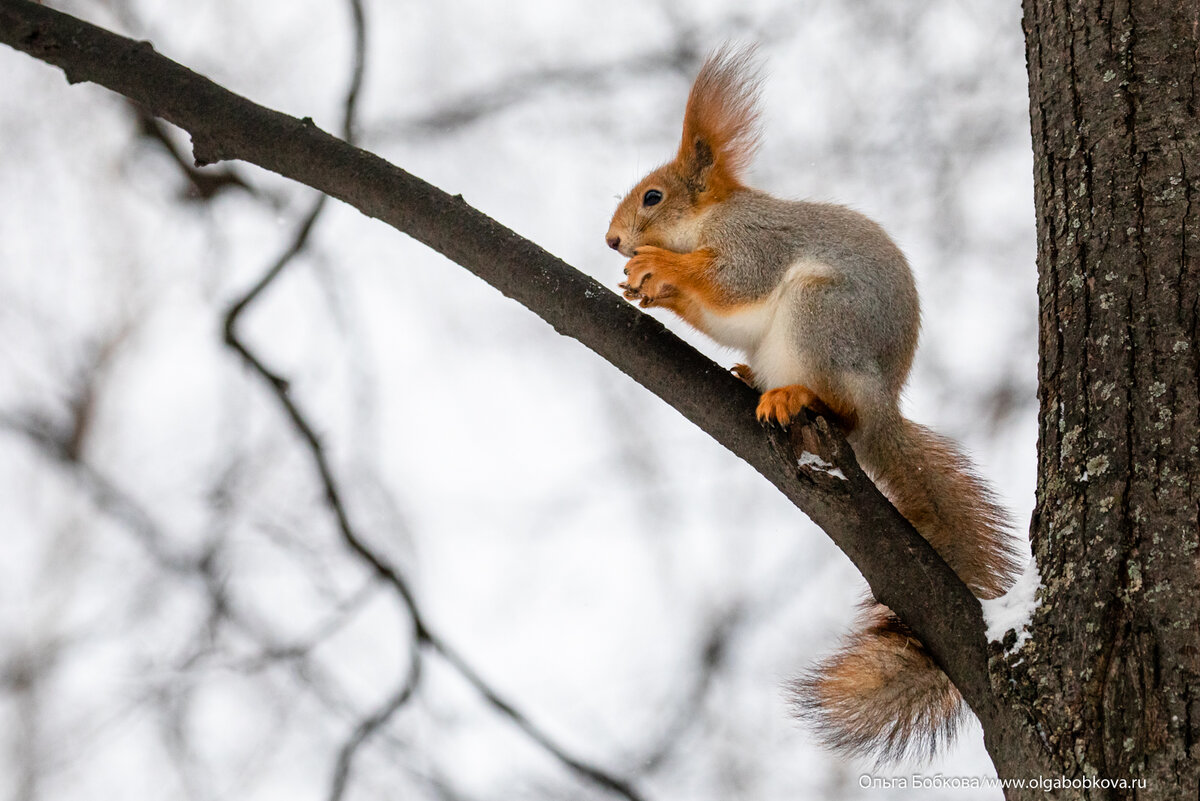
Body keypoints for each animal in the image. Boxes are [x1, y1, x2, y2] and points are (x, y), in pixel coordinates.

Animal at [604, 45, 1017, 762]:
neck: (709, 218)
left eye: (653, 196)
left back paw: (795, 394)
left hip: (820, 317)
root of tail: (884, 410)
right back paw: (751, 376)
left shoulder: (755, 243)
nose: (611, 241)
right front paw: (651, 289)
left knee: (840, 407)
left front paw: (663, 268)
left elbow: (733, 279)